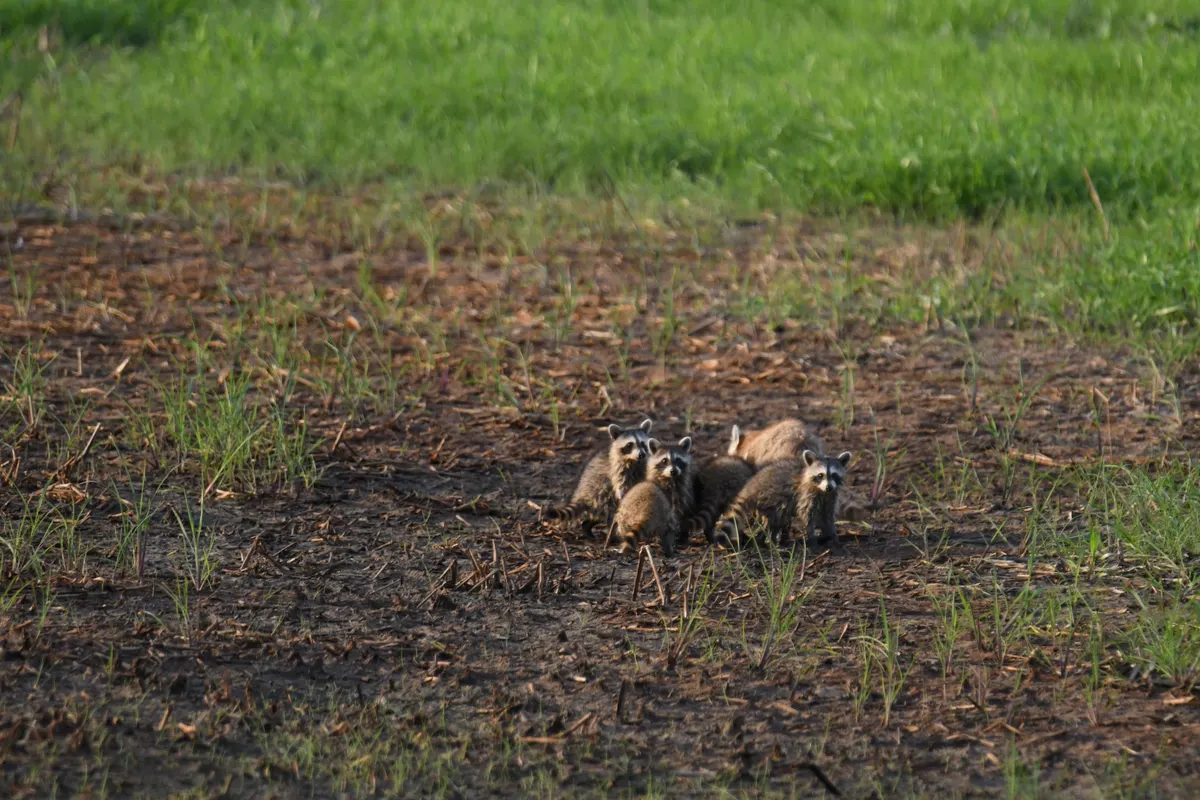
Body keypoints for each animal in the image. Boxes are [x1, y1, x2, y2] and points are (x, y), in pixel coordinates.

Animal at [715, 449, 851, 549]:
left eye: (834, 475)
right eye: (820, 475)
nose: (829, 487)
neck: (822, 491)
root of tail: (751, 485)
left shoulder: (830, 498)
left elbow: (828, 516)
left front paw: (833, 535)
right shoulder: (805, 494)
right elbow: (807, 515)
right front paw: (812, 538)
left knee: (776, 520)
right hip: (770, 497)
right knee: (777, 516)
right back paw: (768, 541)